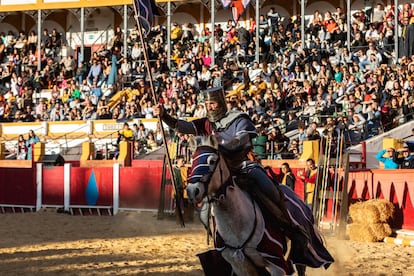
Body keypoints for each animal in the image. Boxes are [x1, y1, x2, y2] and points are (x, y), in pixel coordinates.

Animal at [186, 136, 334, 276]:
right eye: (192, 161)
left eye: (211, 161)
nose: (192, 190)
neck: (237, 226)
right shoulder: (241, 266)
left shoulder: (277, 264)